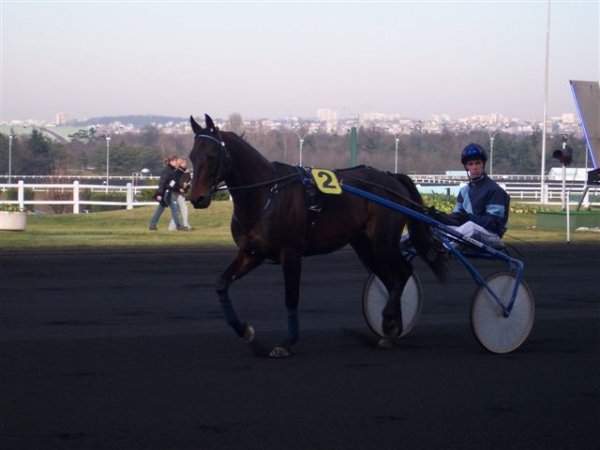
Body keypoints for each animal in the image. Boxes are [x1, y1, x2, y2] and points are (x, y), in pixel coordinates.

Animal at [190, 114, 448, 356]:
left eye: (212, 155)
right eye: (192, 156)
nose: (197, 198)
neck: (266, 195)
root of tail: (392, 178)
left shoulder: (291, 253)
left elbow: (291, 297)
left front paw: (287, 343)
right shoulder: (251, 253)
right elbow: (221, 283)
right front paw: (246, 332)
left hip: (383, 242)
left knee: (402, 273)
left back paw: (389, 325)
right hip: (365, 245)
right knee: (391, 279)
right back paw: (391, 329)